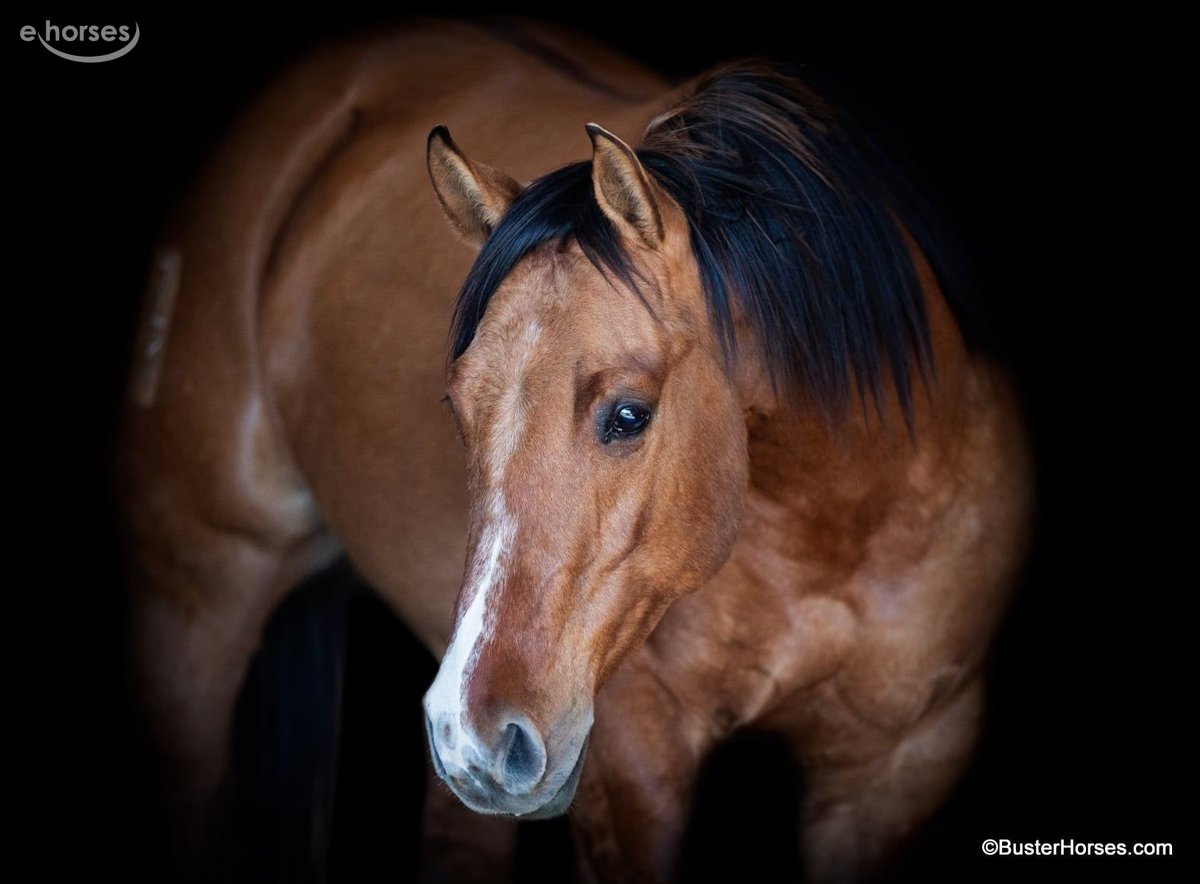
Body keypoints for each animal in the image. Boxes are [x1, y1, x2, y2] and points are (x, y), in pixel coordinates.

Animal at [119, 19, 1032, 883]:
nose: (473, 737)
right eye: (456, 409)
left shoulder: (901, 770)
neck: (843, 525)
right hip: (193, 613)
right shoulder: (632, 769)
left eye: (628, 414)